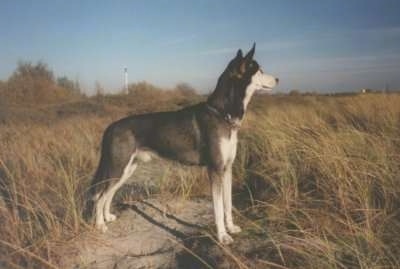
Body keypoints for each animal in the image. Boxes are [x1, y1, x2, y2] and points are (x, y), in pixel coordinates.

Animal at [88, 43, 278, 243]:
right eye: (259, 70)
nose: (278, 79)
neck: (222, 114)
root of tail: (110, 127)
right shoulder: (215, 170)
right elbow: (218, 208)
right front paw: (222, 236)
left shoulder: (227, 169)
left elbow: (228, 205)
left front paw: (231, 228)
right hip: (117, 168)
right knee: (100, 196)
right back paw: (100, 225)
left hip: (126, 170)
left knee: (108, 194)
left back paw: (107, 217)